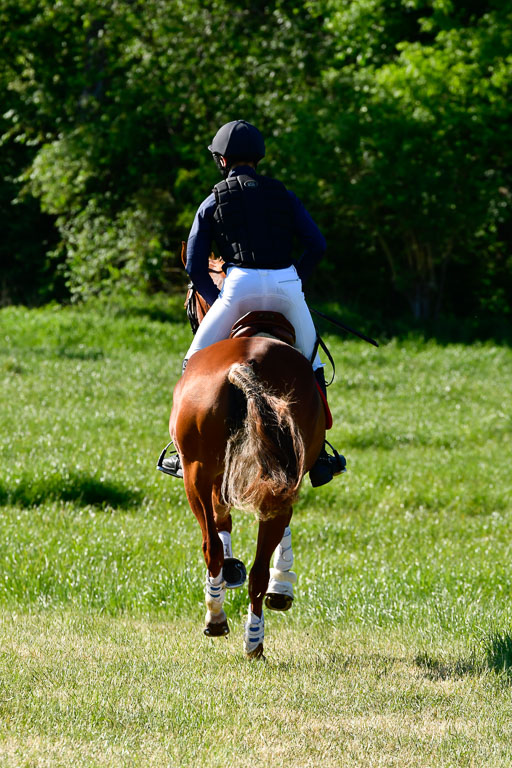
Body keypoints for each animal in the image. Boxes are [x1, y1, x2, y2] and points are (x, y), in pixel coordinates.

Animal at [170, 249, 326, 656]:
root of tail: (246, 364)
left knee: (213, 548)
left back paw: (221, 619)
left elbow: (221, 524)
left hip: (196, 473)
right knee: (254, 562)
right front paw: (279, 583)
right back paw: (252, 635)